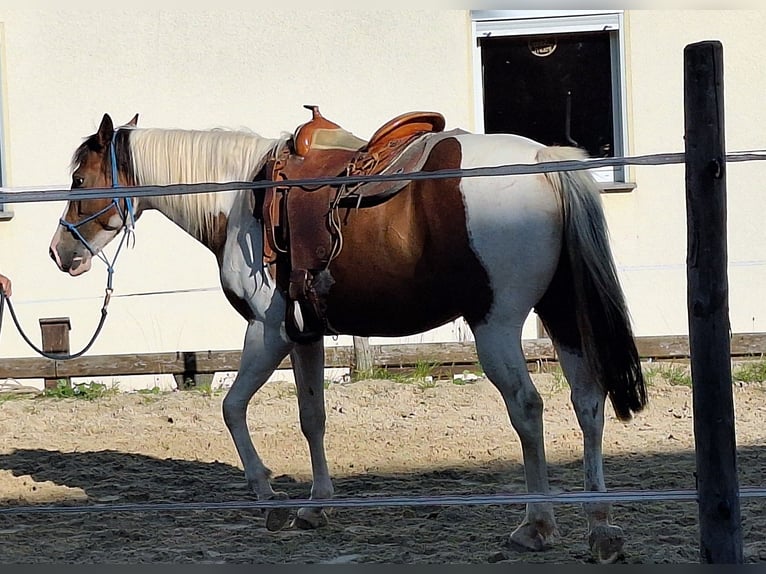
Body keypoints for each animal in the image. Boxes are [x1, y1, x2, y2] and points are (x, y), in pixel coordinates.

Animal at [48, 111, 648, 564]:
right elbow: (311, 417)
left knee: (528, 407)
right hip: (563, 313)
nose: (60, 252)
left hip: (496, 324)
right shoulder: (304, 335)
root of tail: (545, 161)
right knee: (588, 400)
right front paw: (316, 505)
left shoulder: (266, 331)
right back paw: (601, 529)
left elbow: (232, 407)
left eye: (79, 180)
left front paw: (270, 499)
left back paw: (536, 525)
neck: (244, 199)